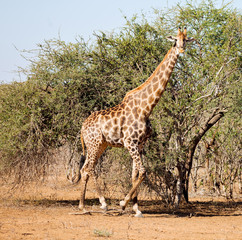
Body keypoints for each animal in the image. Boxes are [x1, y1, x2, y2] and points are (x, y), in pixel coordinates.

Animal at [78, 27, 194, 217]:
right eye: (175, 40)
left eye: (186, 40)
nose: (182, 50)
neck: (146, 107)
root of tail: (82, 127)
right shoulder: (129, 142)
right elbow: (143, 172)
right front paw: (123, 203)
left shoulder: (139, 144)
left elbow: (135, 174)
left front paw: (136, 208)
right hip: (94, 144)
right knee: (89, 168)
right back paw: (98, 204)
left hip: (100, 144)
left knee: (85, 169)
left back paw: (86, 205)